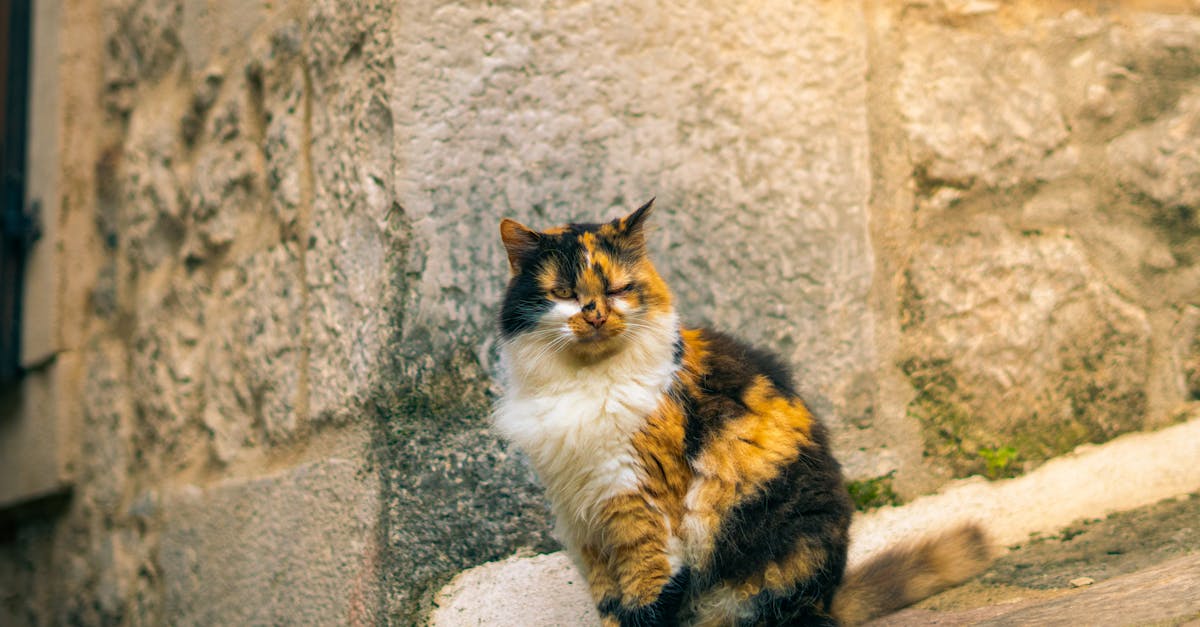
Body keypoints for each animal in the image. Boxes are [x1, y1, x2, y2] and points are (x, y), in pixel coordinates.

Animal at [492, 200, 988, 624]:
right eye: (563, 293)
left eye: (619, 289)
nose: (595, 316)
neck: (585, 382)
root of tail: (828, 600)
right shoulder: (583, 520)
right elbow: (611, 604)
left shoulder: (638, 509)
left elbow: (646, 601)